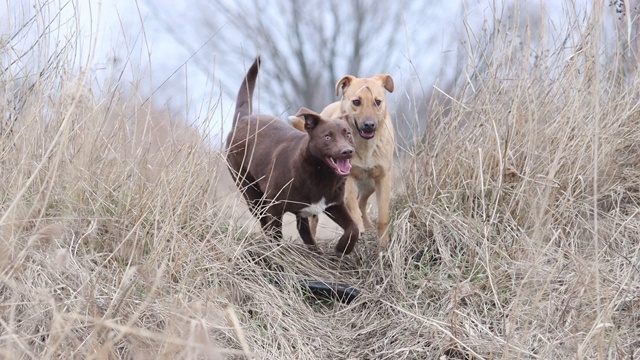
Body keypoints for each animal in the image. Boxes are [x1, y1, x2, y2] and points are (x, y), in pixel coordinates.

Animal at [225, 57, 360, 256]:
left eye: (348, 134)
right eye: (327, 136)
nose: (347, 151)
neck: (320, 172)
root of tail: (244, 118)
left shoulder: (334, 203)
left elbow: (353, 228)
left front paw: (342, 249)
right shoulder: (274, 206)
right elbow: (274, 232)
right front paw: (277, 253)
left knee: (303, 229)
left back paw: (316, 252)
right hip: (250, 190)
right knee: (264, 221)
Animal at [292, 73, 396, 248]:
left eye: (377, 102)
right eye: (356, 102)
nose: (369, 125)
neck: (364, 146)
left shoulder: (383, 177)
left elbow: (382, 215)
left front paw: (383, 241)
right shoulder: (346, 177)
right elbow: (351, 203)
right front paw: (358, 228)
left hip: (369, 185)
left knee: (362, 202)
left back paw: (368, 226)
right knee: (316, 218)